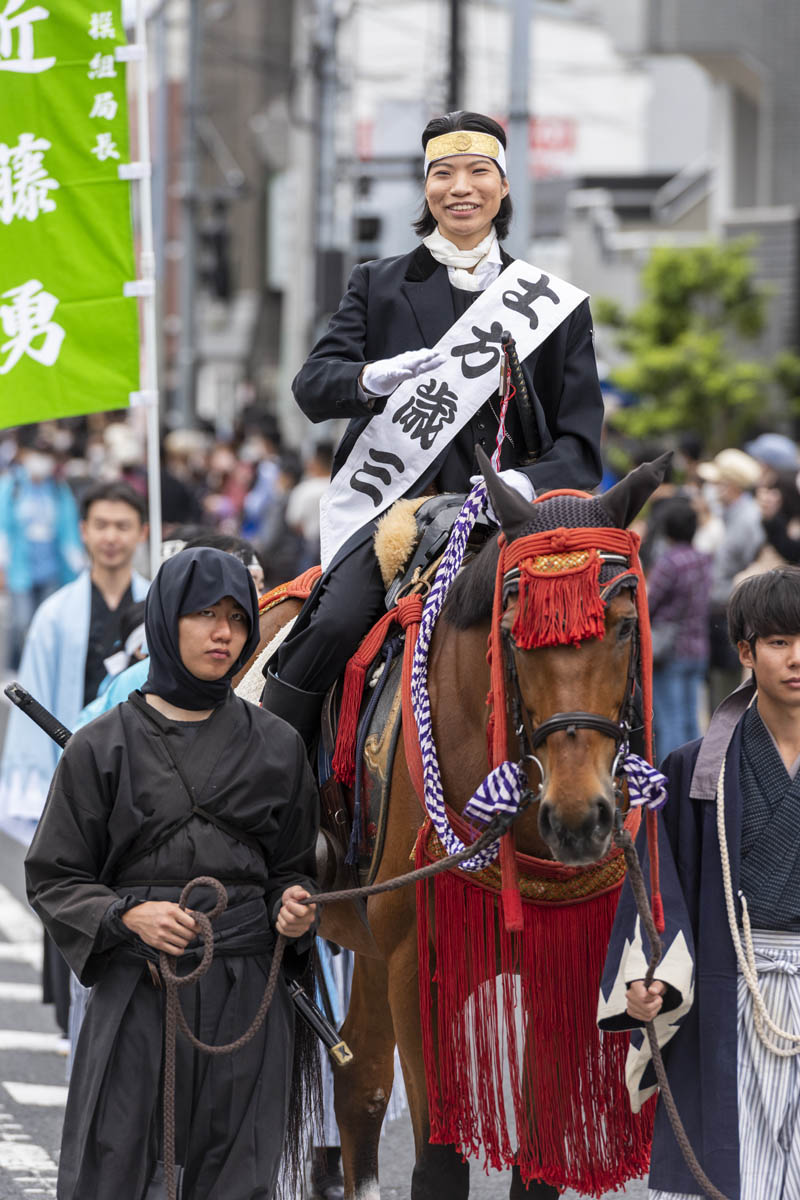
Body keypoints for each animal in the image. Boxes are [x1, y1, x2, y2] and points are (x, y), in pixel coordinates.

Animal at [237, 453, 671, 1195]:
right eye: (513, 628)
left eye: (622, 624)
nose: (579, 817)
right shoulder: (420, 964)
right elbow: (439, 1162)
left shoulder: (558, 959)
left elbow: (539, 1162)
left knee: (359, 1086)